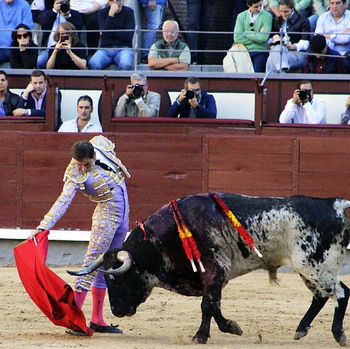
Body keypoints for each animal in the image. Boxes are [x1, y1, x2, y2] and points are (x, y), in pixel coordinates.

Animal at [68, 193, 350, 346]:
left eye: (119, 279)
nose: (117, 311)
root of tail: (334, 205)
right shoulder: (211, 276)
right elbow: (213, 304)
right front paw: (231, 327)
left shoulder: (216, 270)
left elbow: (207, 304)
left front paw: (201, 336)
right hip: (311, 269)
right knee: (322, 296)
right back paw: (301, 329)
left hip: (315, 265)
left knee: (340, 293)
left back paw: (337, 334)